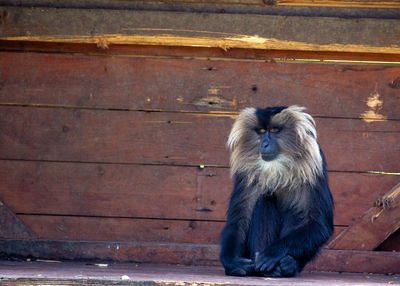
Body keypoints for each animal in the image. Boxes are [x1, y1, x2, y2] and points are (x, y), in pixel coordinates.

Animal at [219, 105, 334, 278]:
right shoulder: (245, 174)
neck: (278, 166)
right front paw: (232, 262)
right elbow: (238, 220)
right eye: (261, 131)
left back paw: (288, 264)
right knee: (264, 200)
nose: (265, 144)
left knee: (297, 211)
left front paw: (272, 253)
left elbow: (318, 224)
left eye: (274, 130)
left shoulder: (314, 164)